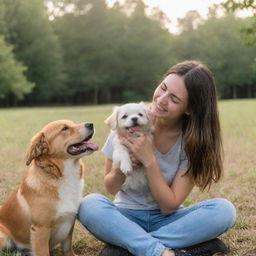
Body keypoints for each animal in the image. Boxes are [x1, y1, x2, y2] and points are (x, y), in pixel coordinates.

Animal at [0, 120, 98, 256]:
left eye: (73, 123)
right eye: (65, 128)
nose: (91, 124)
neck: (59, 177)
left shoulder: (69, 222)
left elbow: (67, 248)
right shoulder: (40, 229)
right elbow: (43, 252)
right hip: (4, 239)